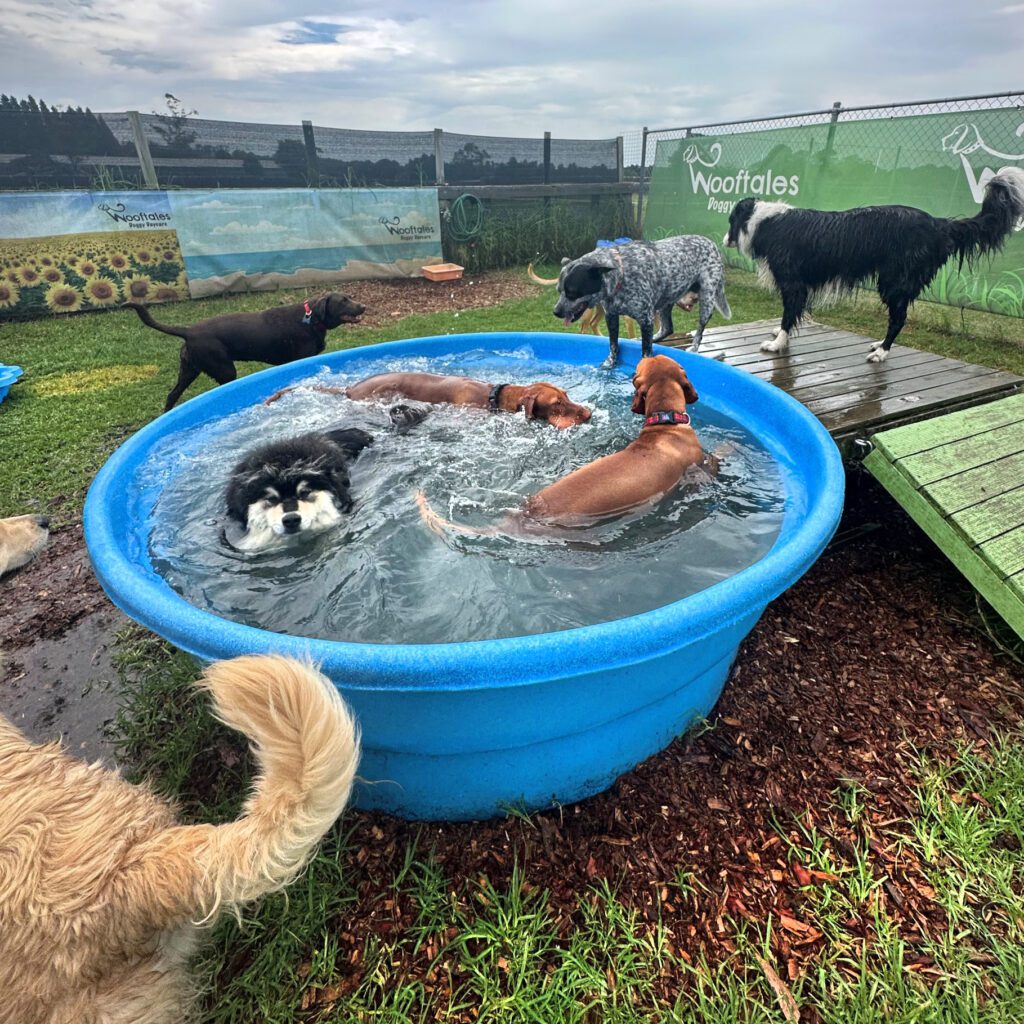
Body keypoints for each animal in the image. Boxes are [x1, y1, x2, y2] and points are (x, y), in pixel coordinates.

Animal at [552, 235, 729, 368]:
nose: (556, 312)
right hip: (666, 300)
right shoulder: (611, 316)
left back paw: (694, 347)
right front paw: (609, 364)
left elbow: (645, 351)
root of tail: (711, 242)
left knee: (699, 330)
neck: (622, 274)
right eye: (559, 291)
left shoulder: (645, 319)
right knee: (667, 329)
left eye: (572, 293)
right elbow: (613, 344)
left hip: (707, 299)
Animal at [724, 165, 1024, 362]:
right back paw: (880, 344)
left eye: (730, 220)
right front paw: (779, 335)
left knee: (899, 319)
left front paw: (777, 344)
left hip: (894, 282)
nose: (725, 238)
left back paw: (882, 351)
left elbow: (788, 315)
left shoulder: (794, 284)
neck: (765, 222)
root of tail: (938, 224)